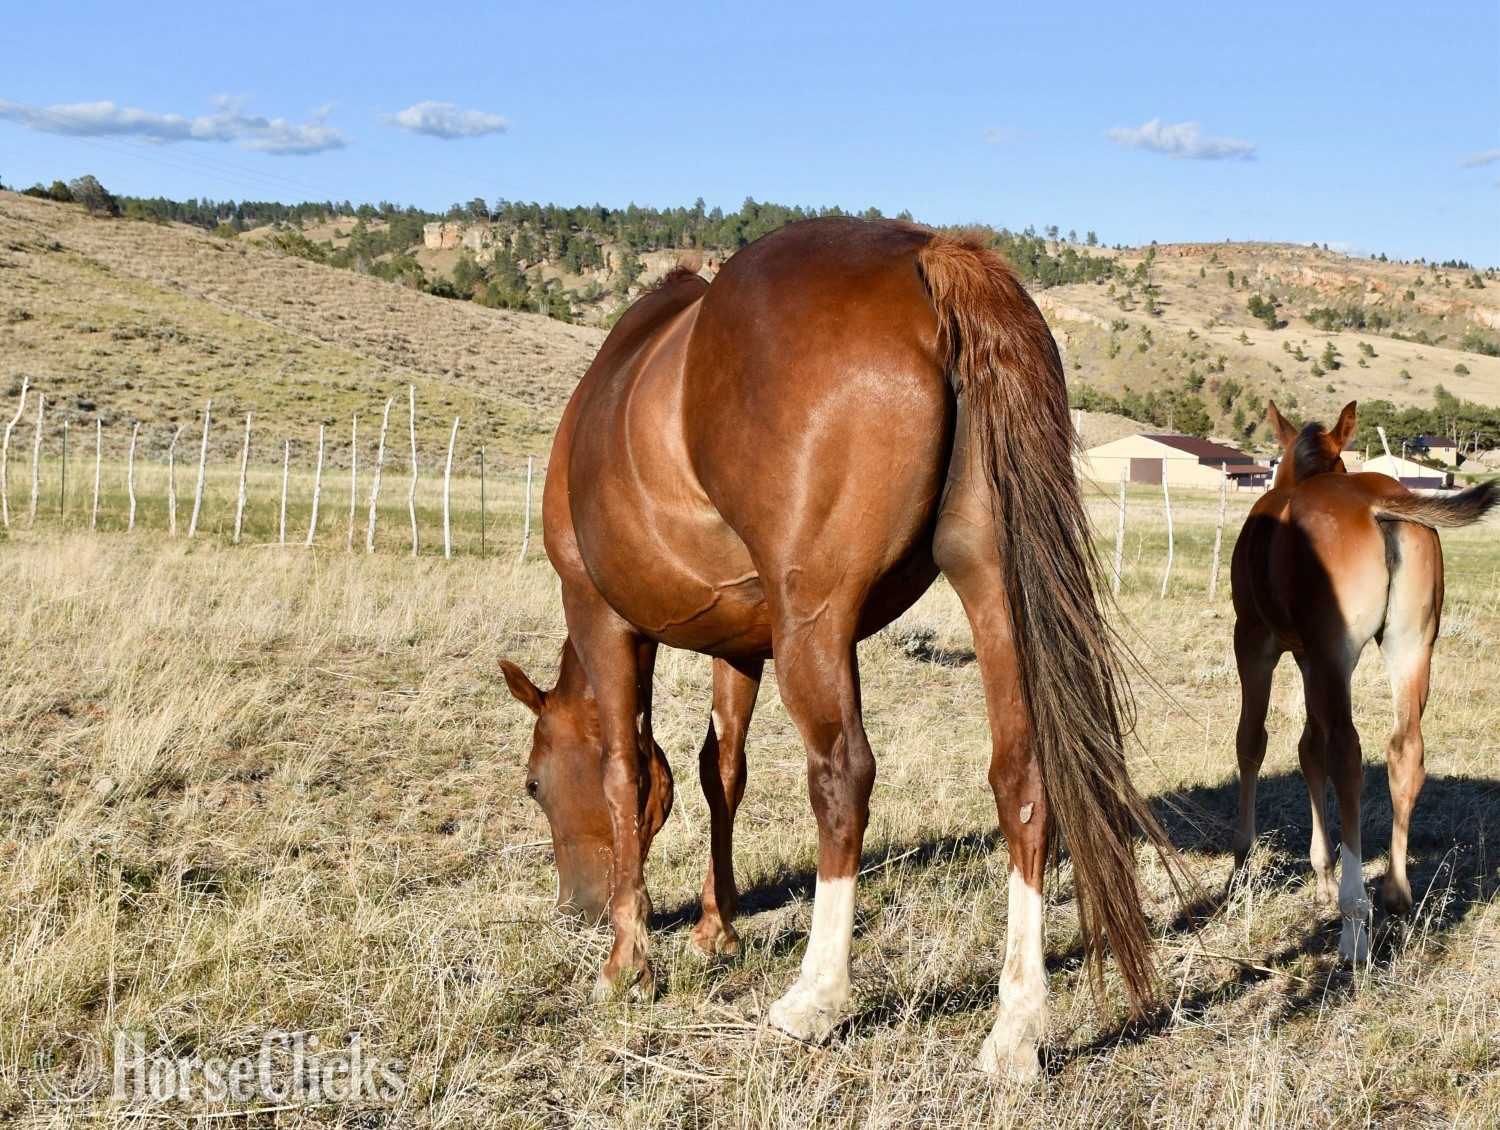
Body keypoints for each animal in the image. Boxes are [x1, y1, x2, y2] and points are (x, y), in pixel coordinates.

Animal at [498, 216, 1181, 1078]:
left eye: (533, 785)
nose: (575, 910)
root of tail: (927, 253)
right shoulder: (738, 644)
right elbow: (722, 774)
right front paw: (716, 928)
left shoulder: (604, 618)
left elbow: (627, 774)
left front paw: (628, 962)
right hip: (992, 583)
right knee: (1022, 776)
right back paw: (1016, 1027)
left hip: (815, 623)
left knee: (843, 778)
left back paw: (816, 997)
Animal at [1230, 401, 1497, 961]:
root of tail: (1379, 503)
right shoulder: (1309, 657)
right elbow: (1306, 749)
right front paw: (1322, 874)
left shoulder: (1256, 641)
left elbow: (1254, 741)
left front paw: (1241, 861)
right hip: (1412, 648)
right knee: (1404, 749)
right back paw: (1395, 893)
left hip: (1336, 656)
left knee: (1347, 754)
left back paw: (1355, 922)